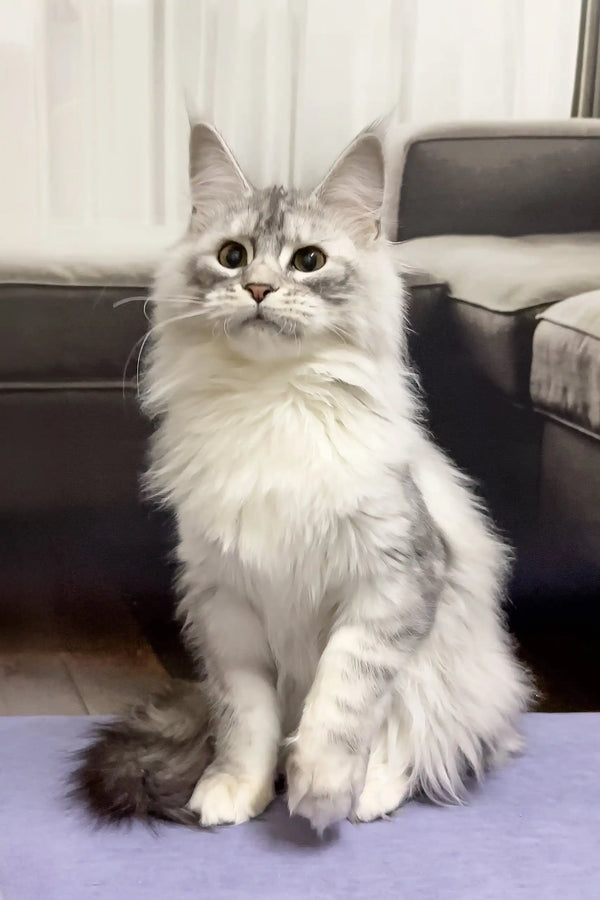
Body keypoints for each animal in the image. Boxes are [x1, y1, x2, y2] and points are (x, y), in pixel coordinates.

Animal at [72, 123, 528, 832]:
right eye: (232, 256)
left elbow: (342, 697)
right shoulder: (226, 606)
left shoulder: (391, 585)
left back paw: (370, 794)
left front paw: (323, 786)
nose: (258, 289)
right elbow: (247, 720)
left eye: (308, 261)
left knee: (422, 740)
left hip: (448, 666)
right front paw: (239, 788)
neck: (273, 401)